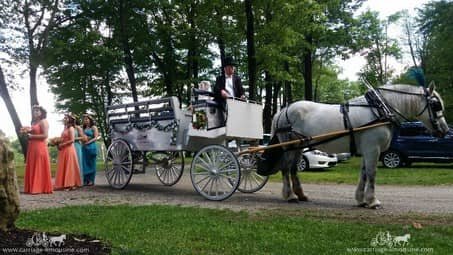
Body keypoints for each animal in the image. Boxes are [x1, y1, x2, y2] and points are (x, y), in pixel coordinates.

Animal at [270, 84, 446, 208]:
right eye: (436, 105)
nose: (445, 130)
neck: (380, 109)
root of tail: (283, 110)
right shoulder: (373, 149)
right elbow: (372, 173)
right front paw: (373, 201)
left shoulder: (367, 150)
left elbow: (364, 174)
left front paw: (361, 200)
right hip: (289, 145)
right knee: (286, 168)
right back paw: (290, 196)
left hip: (298, 146)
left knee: (293, 169)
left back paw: (300, 195)